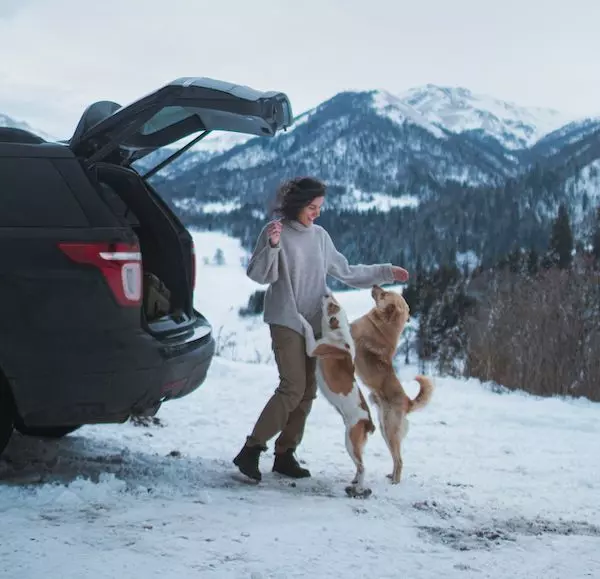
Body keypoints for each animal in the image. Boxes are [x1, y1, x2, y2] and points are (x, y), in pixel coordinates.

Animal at [312, 294, 372, 498]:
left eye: (331, 305)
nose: (326, 293)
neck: (339, 333)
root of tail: (368, 421)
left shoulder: (313, 347)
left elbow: (306, 329)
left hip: (350, 441)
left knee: (363, 467)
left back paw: (359, 488)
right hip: (356, 444)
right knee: (359, 466)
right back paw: (354, 482)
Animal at [350, 286, 434, 484]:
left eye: (384, 294)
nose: (374, 285)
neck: (383, 325)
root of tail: (408, 402)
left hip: (389, 431)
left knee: (400, 460)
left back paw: (395, 480)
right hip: (384, 430)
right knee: (396, 459)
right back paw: (391, 475)